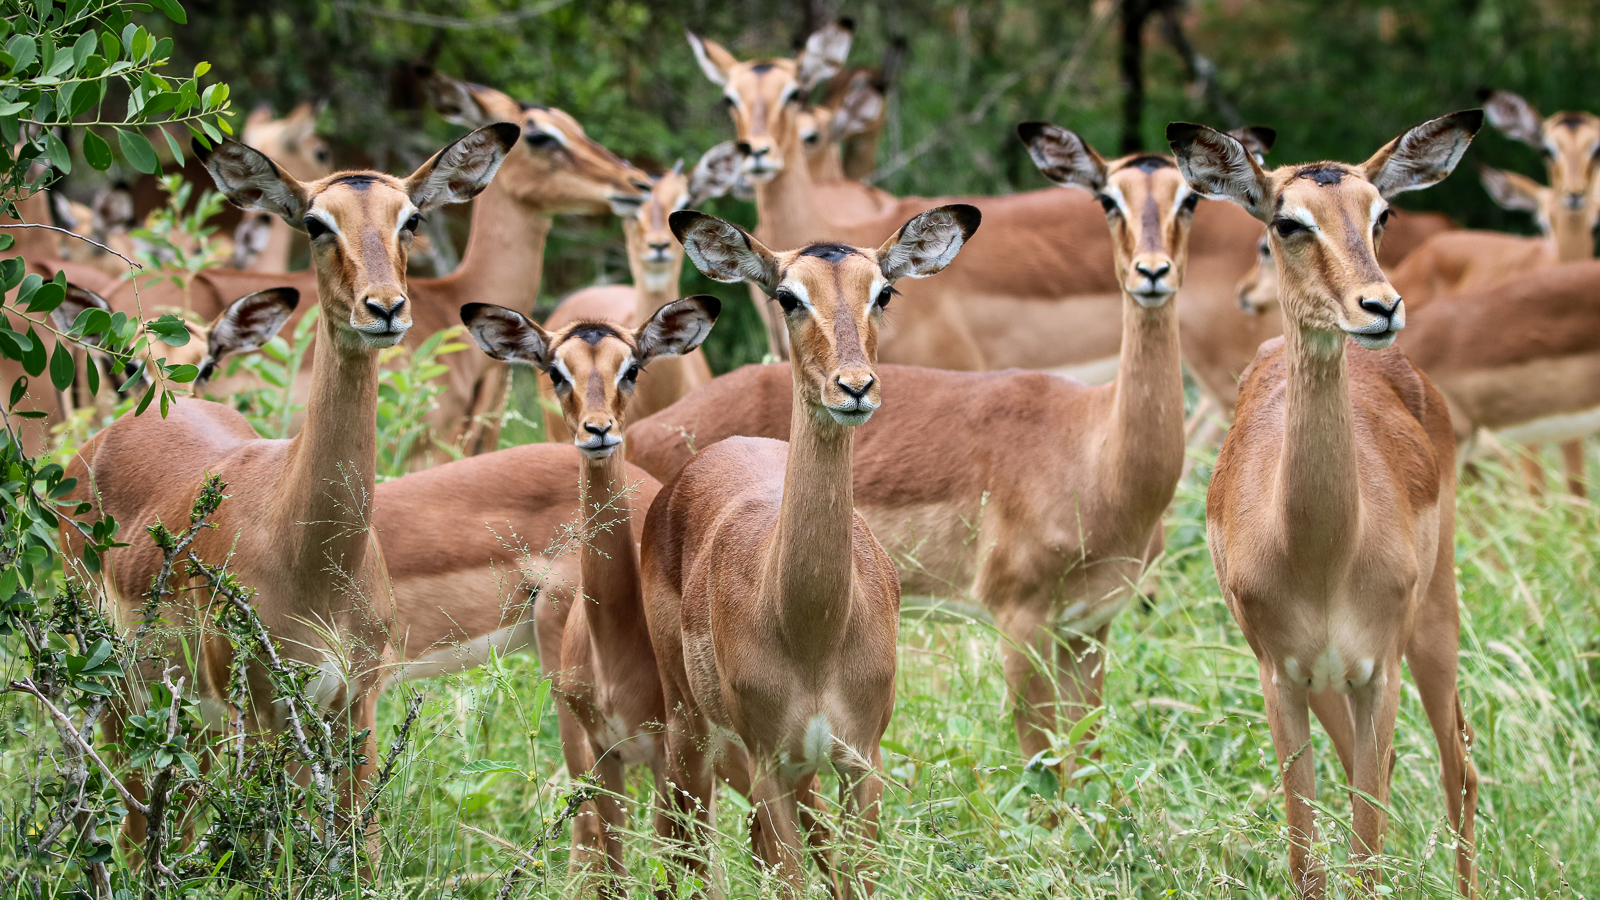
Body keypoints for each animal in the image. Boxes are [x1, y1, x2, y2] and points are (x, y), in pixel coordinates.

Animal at [63, 124, 517, 853]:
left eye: (411, 219)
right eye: (315, 222)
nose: (385, 308)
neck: (313, 557)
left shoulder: (355, 702)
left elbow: (358, 849)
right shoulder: (261, 708)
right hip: (120, 689)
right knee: (132, 818)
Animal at [454, 296, 719, 896]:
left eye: (632, 367)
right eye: (556, 371)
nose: (598, 431)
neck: (613, 648)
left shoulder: (664, 756)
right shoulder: (605, 755)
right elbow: (615, 872)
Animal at [630, 127, 1211, 770]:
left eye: (1191, 198)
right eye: (1108, 200)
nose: (1151, 272)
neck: (1095, 450)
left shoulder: (1089, 628)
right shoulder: (1021, 623)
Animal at [641, 205, 978, 898]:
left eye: (884, 292)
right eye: (788, 296)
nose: (854, 387)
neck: (812, 629)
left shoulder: (860, 761)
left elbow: (856, 877)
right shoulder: (769, 760)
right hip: (689, 727)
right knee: (683, 841)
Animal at [1170, 113, 1480, 897]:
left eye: (1382, 212)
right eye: (1287, 221)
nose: (1380, 307)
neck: (1320, 552)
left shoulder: (1378, 673)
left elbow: (1365, 856)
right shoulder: (1282, 678)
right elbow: (1307, 858)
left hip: (1434, 624)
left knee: (1459, 766)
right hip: (1328, 685)